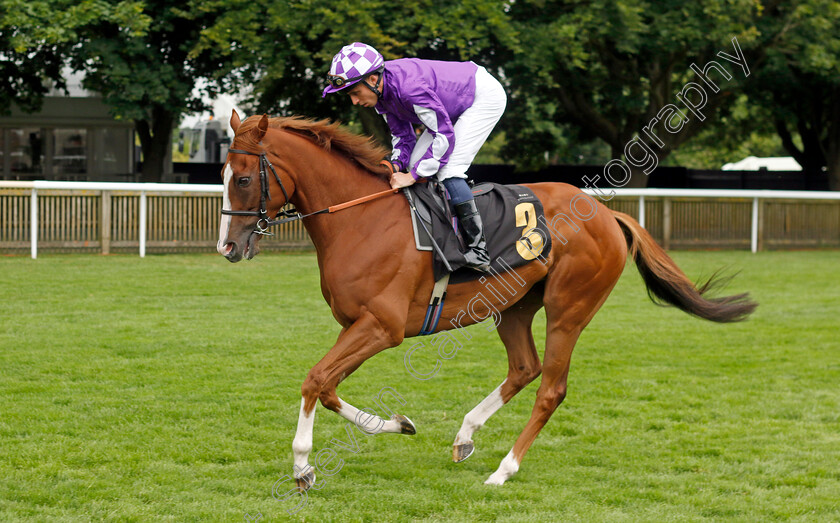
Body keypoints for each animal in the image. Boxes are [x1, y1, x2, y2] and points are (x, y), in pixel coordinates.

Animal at [217, 111, 756, 492]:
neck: (361, 219)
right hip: (513, 306)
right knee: (524, 368)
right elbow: (328, 387)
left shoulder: (382, 327)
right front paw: (397, 423)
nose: (228, 248)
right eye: (224, 175)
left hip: (569, 309)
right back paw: (465, 436)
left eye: (242, 179)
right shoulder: (354, 325)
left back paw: (504, 470)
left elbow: (314, 380)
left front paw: (303, 466)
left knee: (551, 387)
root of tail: (608, 215)